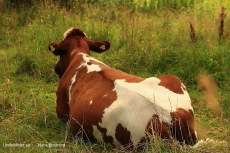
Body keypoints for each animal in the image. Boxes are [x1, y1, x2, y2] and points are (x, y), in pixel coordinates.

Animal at [48, 27, 198, 151]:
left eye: (59, 53)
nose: (56, 68)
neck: (80, 57)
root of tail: (171, 114)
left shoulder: (62, 112)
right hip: (173, 78)